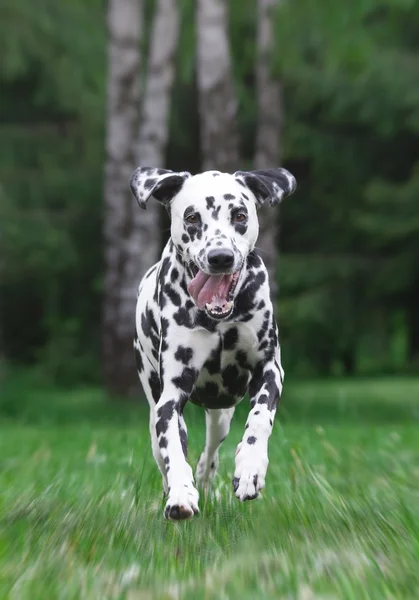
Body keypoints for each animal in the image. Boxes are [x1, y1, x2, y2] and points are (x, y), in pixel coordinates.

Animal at [130, 165, 296, 520]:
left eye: (239, 214)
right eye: (192, 217)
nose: (221, 257)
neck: (218, 319)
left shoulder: (269, 369)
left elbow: (260, 418)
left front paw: (250, 470)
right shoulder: (170, 398)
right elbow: (174, 453)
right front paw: (181, 494)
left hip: (221, 416)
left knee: (210, 454)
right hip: (153, 405)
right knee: (166, 454)